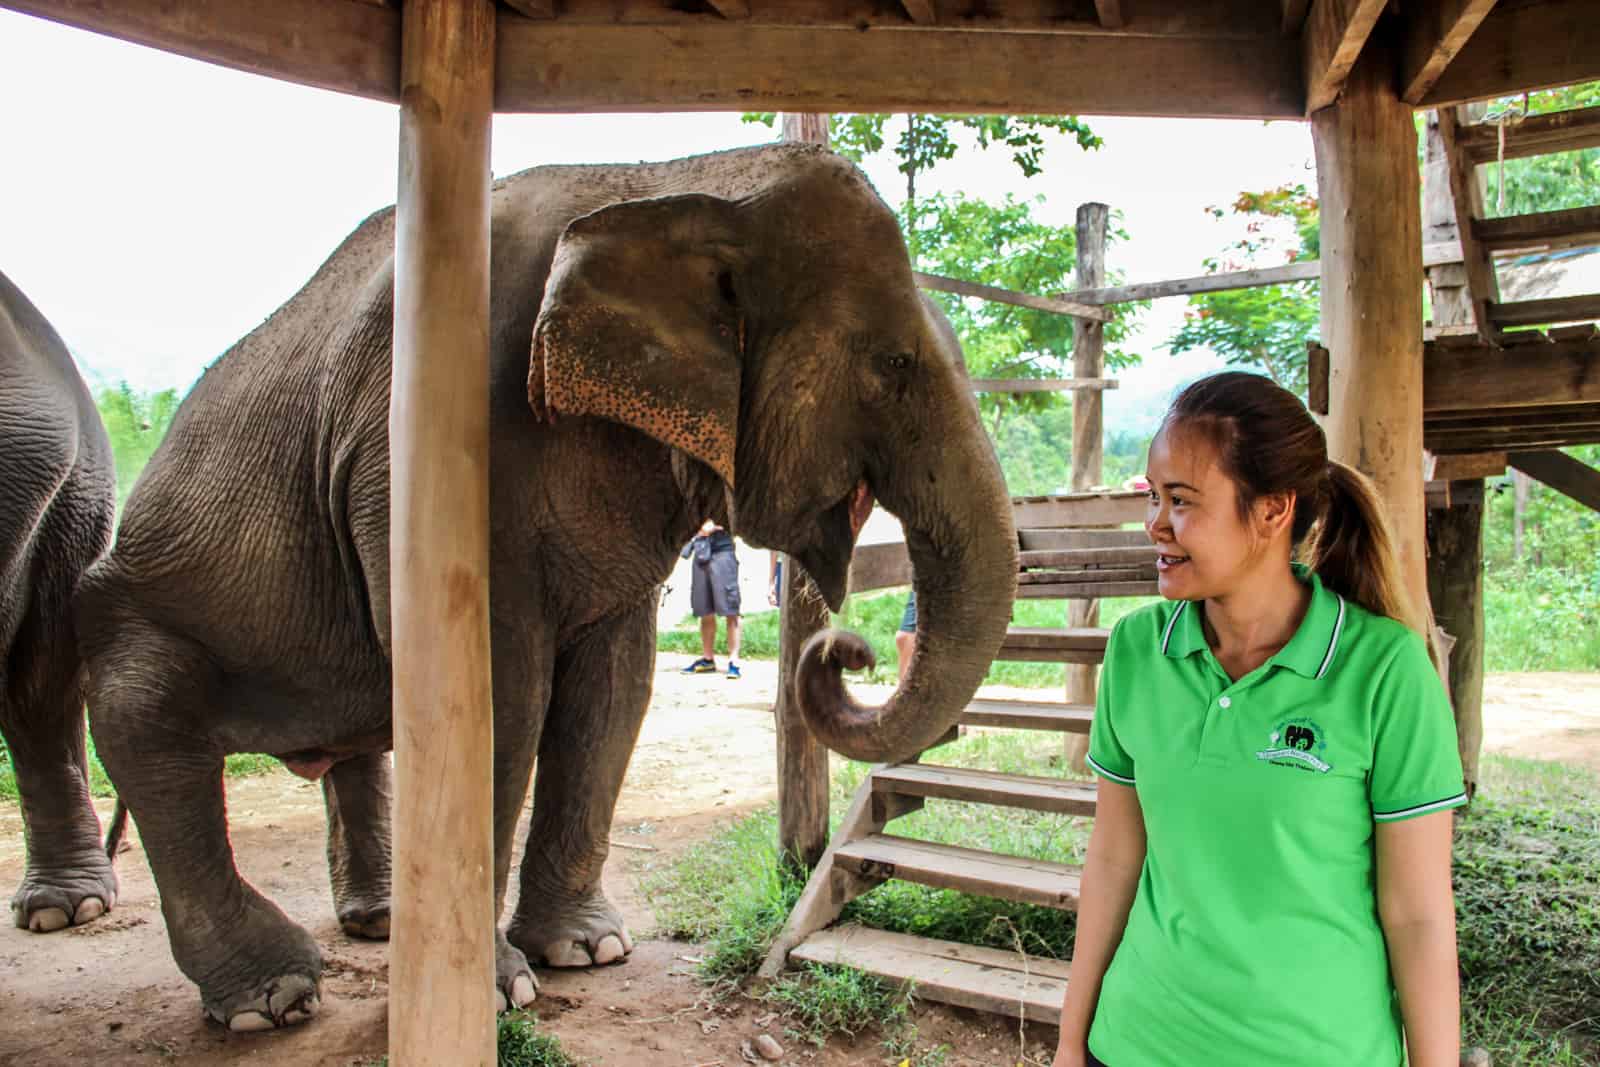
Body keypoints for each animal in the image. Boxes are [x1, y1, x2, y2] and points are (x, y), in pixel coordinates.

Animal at [78, 143, 1011, 1036]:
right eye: (892, 363)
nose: (842, 648)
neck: (675, 178)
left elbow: (614, 686)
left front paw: (587, 952)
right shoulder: (431, 447)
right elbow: (503, 695)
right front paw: (495, 995)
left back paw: (381, 925)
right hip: (146, 614)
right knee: (145, 723)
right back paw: (274, 999)